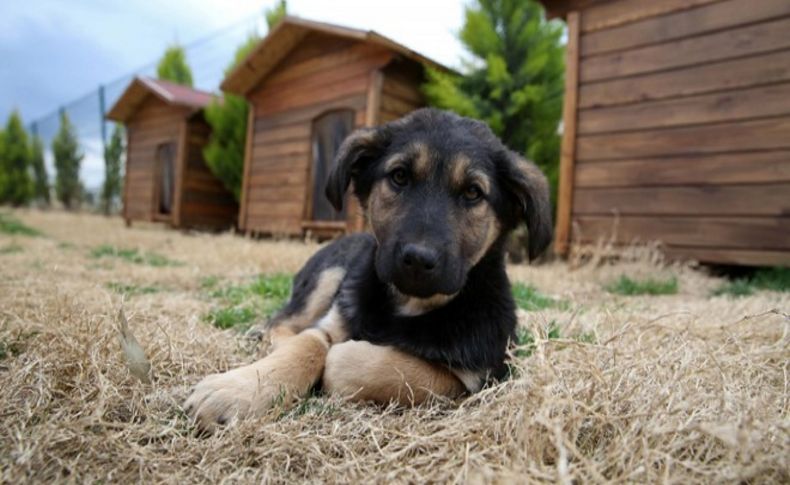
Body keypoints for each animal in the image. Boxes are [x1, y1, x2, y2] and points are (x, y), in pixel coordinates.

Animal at [186, 108, 552, 426]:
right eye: (399, 176)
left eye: (473, 193)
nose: (418, 259)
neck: (406, 305)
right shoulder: (334, 317)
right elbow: (309, 343)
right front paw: (239, 389)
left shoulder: (480, 377)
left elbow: (394, 368)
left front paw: (346, 358)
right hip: (329, 276)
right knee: (280, 323)